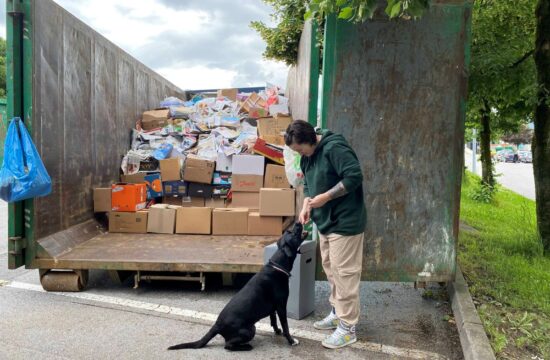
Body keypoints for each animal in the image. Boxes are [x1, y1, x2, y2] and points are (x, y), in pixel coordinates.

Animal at [168, 222, 306, 352]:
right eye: (292, 233)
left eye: (289, 231)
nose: (298, 222)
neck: (278, 264)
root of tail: (217, 325)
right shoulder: (281, 306)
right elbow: (286, 326)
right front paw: (291, 341)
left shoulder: (273, 308)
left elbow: (274, 321)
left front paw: (277, 331)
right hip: (250, 329)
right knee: (228, 345)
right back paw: (247, 347)